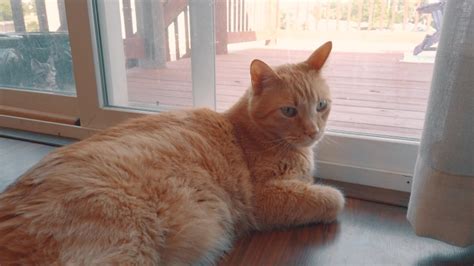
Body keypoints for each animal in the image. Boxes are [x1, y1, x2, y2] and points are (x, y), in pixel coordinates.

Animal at [0, 41, 342, 264]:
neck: (246, 132)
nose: (314, 131)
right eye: (289, 111)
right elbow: (334, 199)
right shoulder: (263, 199)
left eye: (321, 105)